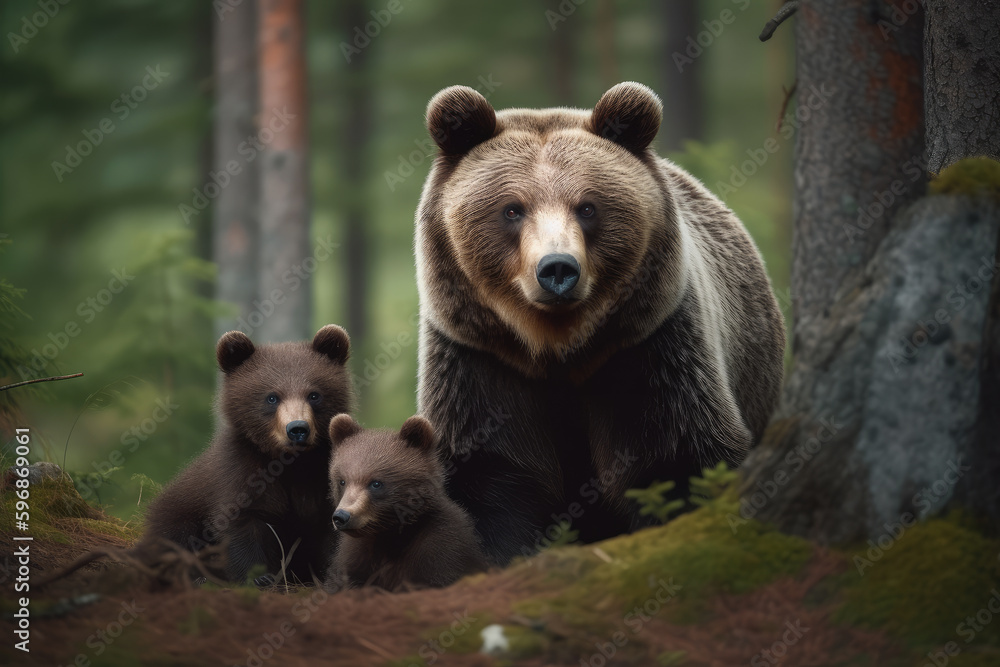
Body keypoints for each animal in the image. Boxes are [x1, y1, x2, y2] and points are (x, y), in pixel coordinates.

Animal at [138, 324, 355, 584]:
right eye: (272, 397)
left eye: (314, 394)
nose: (298, 429)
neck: (289, 463)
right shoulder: (241, 469)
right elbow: (242, 521)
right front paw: (258, 576)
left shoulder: (320, 474)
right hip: (177, 510)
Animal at [323, 413, 487, 592]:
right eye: (342, 481)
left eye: (376, 483)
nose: (342, 516)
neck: (391, 535)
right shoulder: (355, 556)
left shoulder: (442, 548)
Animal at [414, 82, 786, 565]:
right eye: (512, 210)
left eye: (587, 207)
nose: (557, 268)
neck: (557, 348)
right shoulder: (479, 359)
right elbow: (490, 474)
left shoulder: (648, 348)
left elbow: (678, 456)